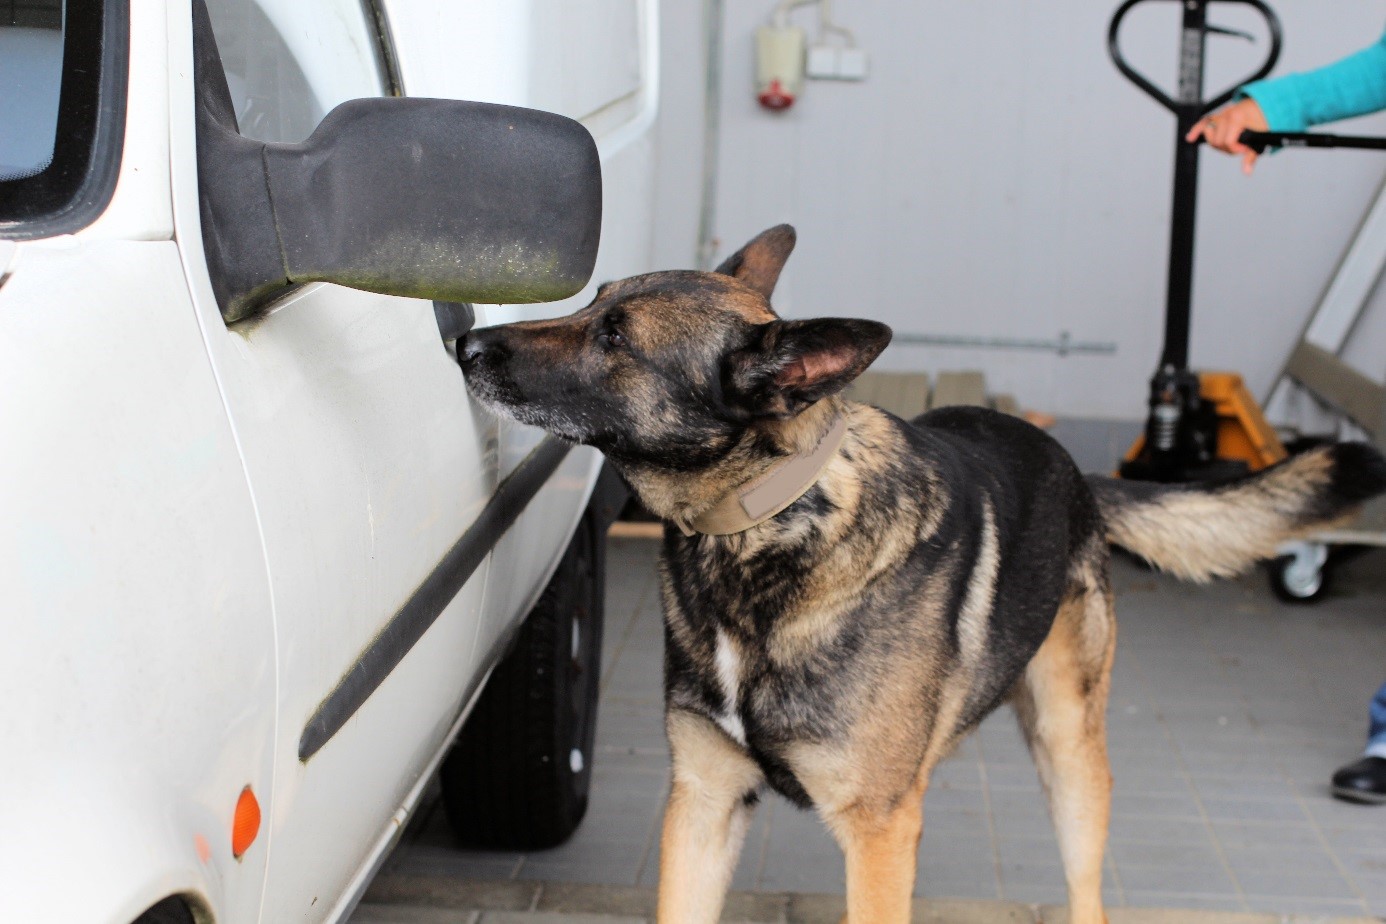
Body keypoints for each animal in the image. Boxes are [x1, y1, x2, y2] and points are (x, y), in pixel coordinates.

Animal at [465, 225, 1386, 924]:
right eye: (592, 301)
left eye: (617, 337)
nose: (465, 341)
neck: (761, 532)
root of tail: (1075, 470)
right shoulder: (703, 807)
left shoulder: (874, 834)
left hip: (1068, 753)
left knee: (1086, 886)